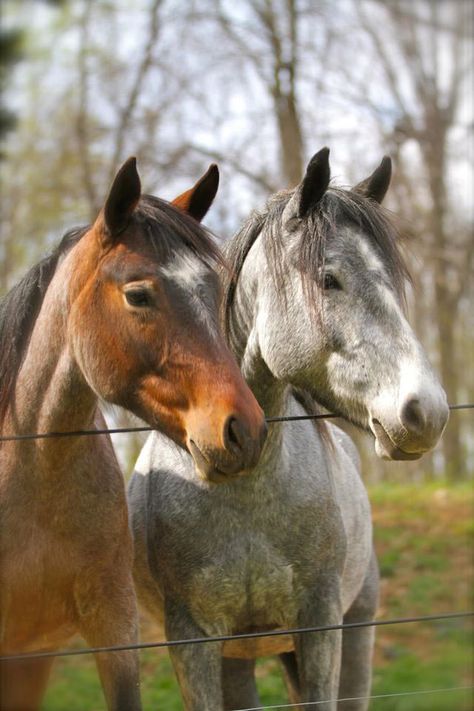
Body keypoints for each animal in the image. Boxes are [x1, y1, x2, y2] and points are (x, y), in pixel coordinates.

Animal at [127, 150, 448, 711]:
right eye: (329, 279)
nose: (425, 411)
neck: (244, 490)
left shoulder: (320, 626)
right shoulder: (193, 642)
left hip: (355, 628)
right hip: (239, 657)